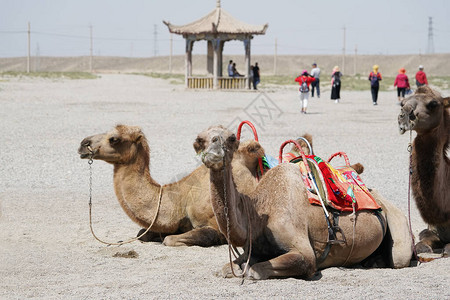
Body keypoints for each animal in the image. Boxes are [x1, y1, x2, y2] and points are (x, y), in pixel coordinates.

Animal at [77, 123, 268, 246]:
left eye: (114, 139)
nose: (83, 144)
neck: (181, 199)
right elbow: (142, 234)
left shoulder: (216, 226)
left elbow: (171, 240)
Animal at [193, 125, 412, 280]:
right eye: (200, 140)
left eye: (231, 138)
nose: (214, 152)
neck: (260, 213)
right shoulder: (252, 248)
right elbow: (227, 268)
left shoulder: (304, 251)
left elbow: (254, 270)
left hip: (397, 224)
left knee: (400, 257)